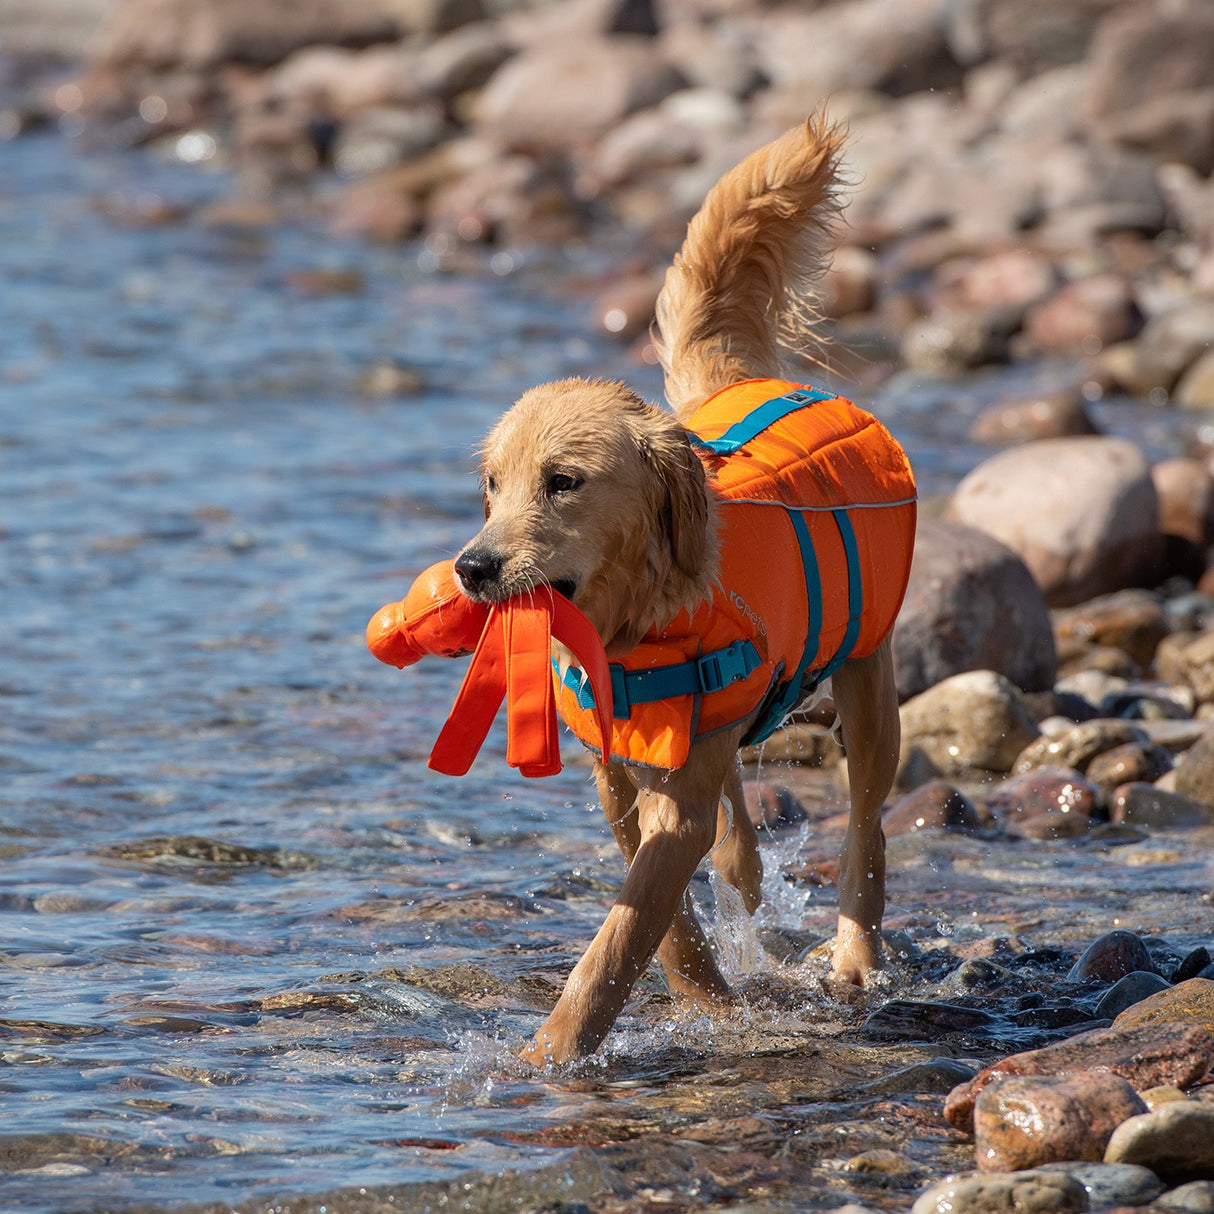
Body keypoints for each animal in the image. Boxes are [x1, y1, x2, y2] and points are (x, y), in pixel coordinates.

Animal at [454, 115, 912, 1063]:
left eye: (563, 482)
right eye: (492, 485)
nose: (471, 568)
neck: (632, 627)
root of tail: (746, 381)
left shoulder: (678, 802)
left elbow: (623, 932)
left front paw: (551, 1055)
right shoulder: (616, 778)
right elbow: (659, 920)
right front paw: (705, 995)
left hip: (868, 681)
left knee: (867, 826)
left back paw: (856, 955)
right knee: (741, 827)